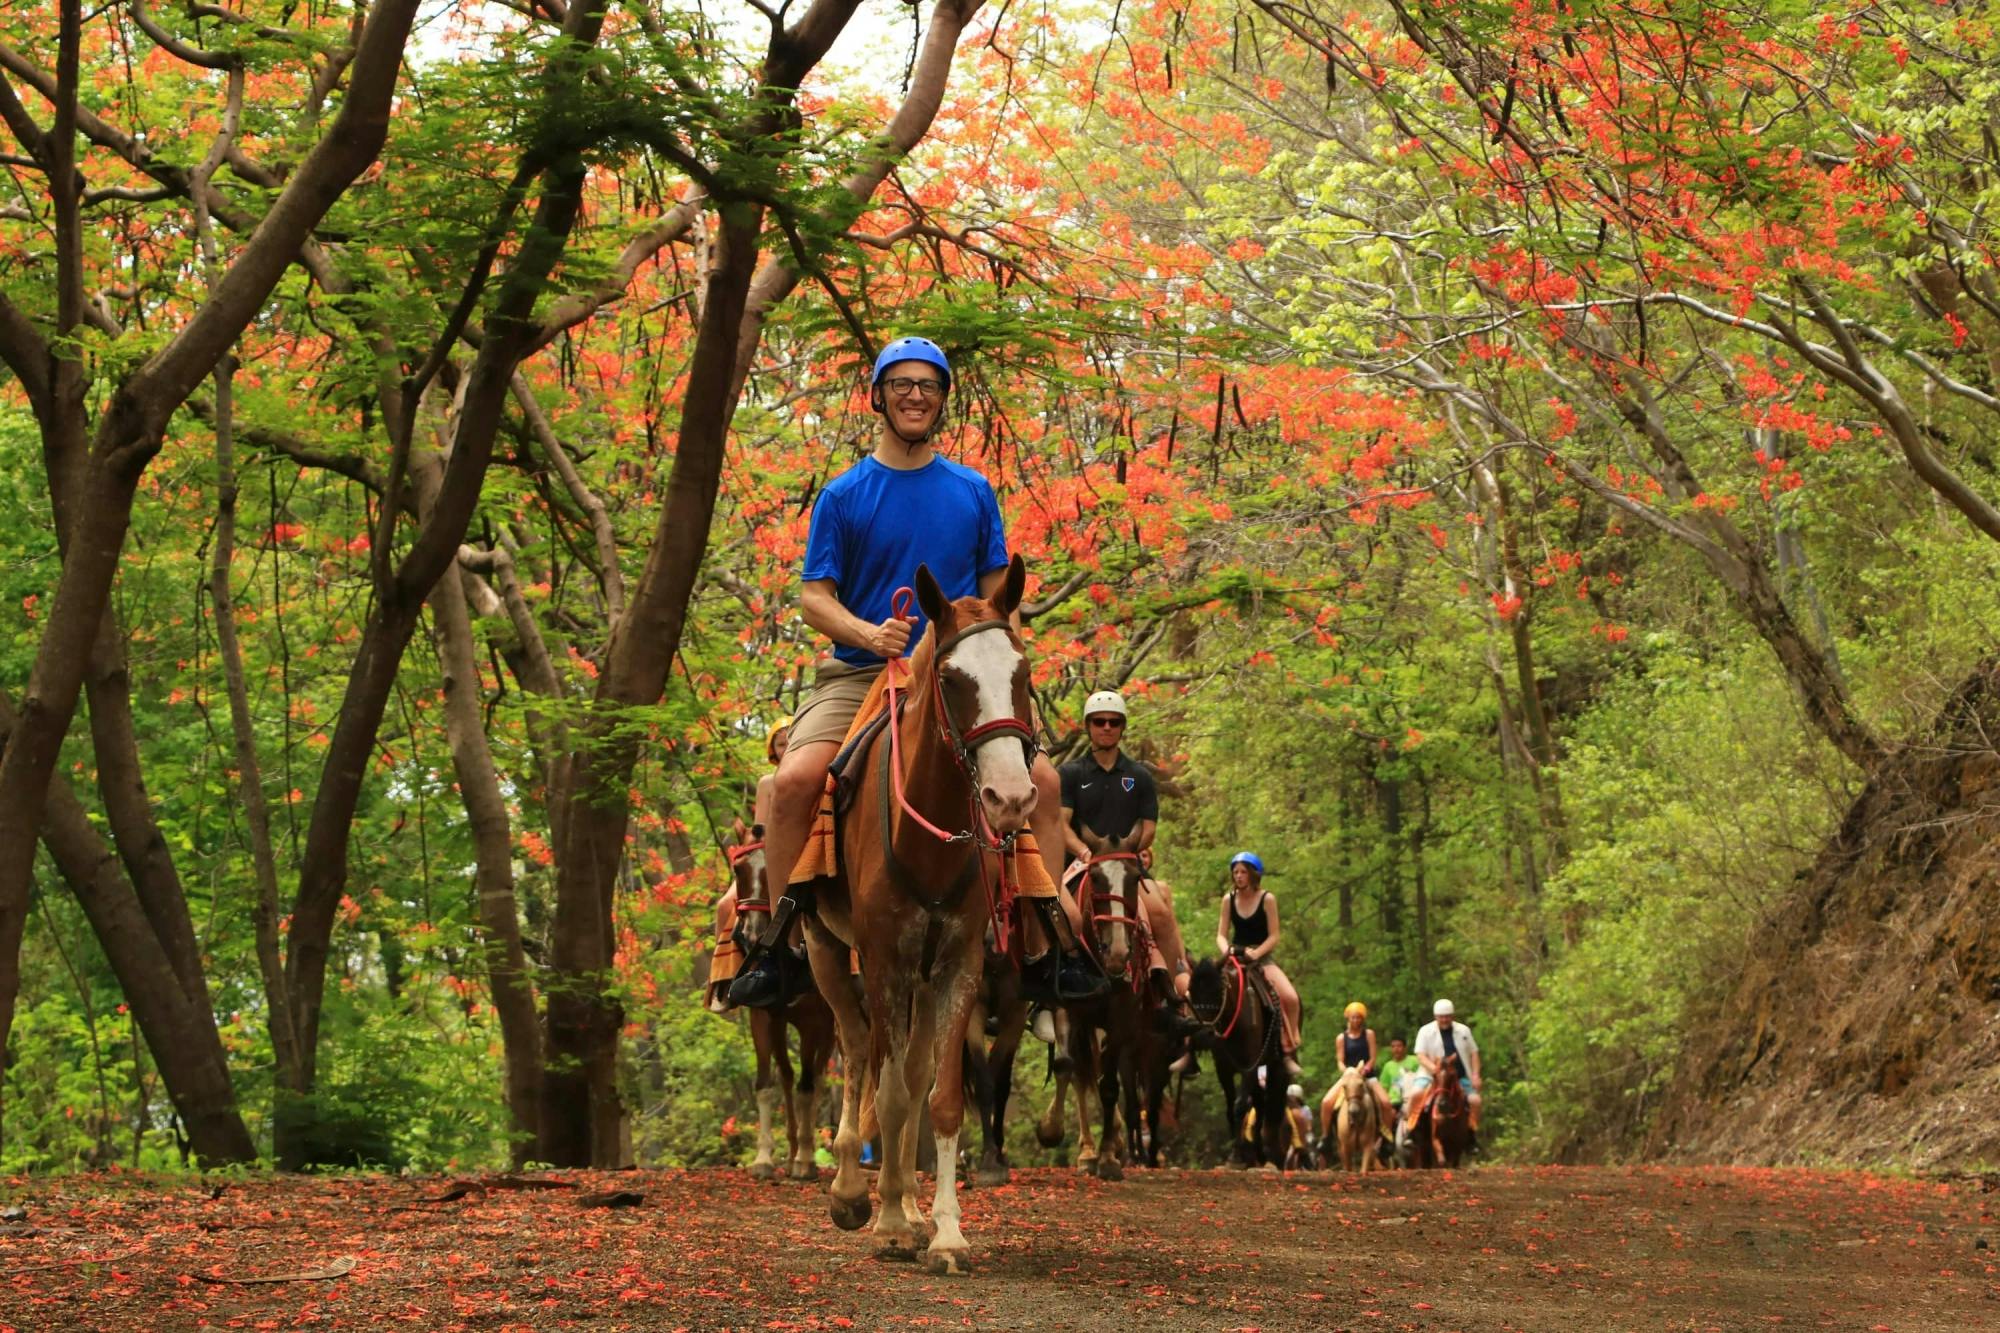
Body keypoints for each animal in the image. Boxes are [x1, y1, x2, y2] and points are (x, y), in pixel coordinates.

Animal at [728, 836, 836, 1176]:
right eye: (738, 869)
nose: (752, 933)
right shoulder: (764, 1017)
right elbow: (767, 1084)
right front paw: (764, 1158)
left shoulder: (815, 1023)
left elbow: (806, 1087)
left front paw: (805, 1160)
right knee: (790, 1076)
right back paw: (791, 1152)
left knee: (819, 1078)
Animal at [804, 556, 1040, 1272]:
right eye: (953, 679)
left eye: (1022, 673)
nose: (1009, 797)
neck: (931, 835)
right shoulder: (883, 960)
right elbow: (885, 1090)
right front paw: (881, 1221)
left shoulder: (959, 962)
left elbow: (937, 1098)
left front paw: (943, 1231)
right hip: (828, 953)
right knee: (858, 1051)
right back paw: (855, 1192)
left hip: (923, 976)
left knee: (908, 1073)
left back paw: (906, 1205)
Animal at [1192, 948, 1288, 1168]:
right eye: (1191, 992)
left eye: (1218, 991)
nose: (1202, 1034)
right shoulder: (1224, 1069)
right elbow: (1230, 1108)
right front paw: (1237, 1155)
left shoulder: (1249, 1067)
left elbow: (1240, 1106)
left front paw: (1236, 1157)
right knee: (1260, 1103)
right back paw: (1259, 1155)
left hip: (1275, 1064)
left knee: (1271, 1105)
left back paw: (1271, 1157)